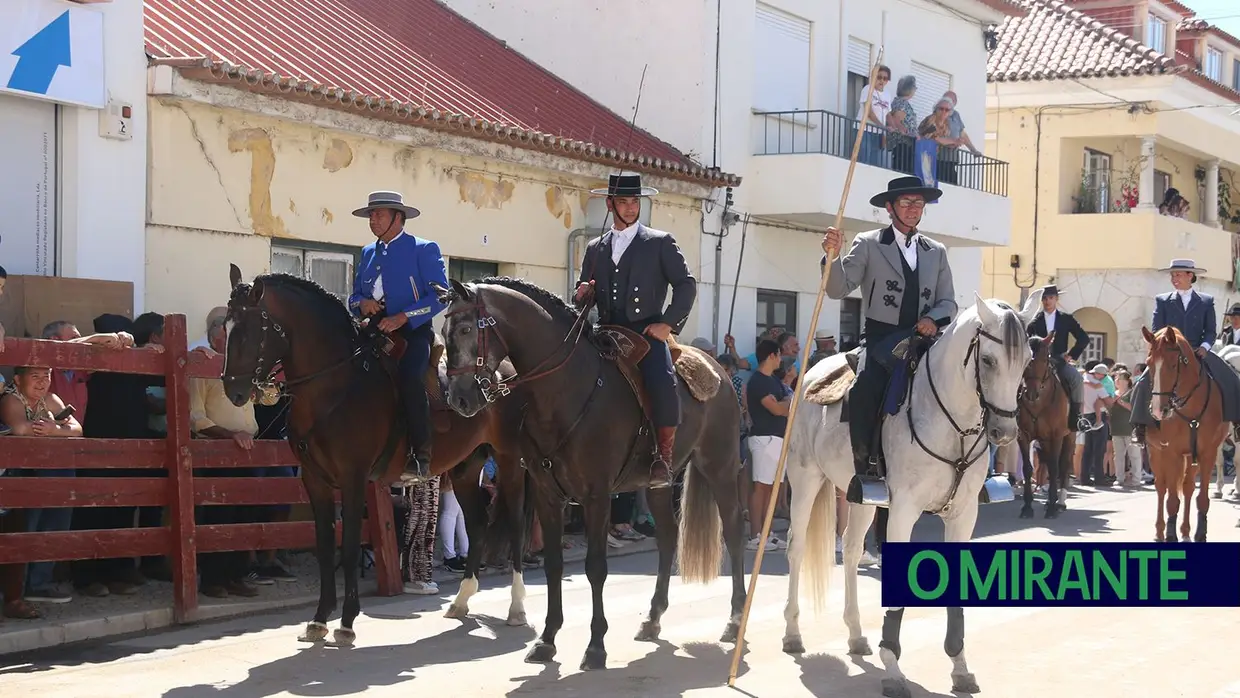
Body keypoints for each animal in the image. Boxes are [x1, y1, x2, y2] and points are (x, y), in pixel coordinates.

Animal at [220, 266, 530, 644]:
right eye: (225, 327)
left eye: (249, 331)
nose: (233, 391)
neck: (335, 385)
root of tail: (507, 369)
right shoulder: (315, 481)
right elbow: (326, 545)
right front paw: (319, 619)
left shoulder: (353, 479)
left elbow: (351, 544)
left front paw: (346, 622)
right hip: (465, 469)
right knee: (477, 523)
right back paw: (461, 601)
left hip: (508, 462)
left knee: (515, 524)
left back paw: (516, 608)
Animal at [436, 277, 744, 669]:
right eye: (443, 332)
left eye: (464, 329)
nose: (459, 400)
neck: (564, 389)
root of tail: (717, 368)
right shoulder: (548, 494)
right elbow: (553, 565)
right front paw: (547, 639)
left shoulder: (597, 495)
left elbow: (596, 567)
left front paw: (596, 646)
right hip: (658, 482)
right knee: (668, 536)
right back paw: (652, 618)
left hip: (719, 466)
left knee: (733, 531)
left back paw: (735, 620)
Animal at [783, 291, 1036, 698]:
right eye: (988, 360)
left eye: (1027, 360)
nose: (1005, 432)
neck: (954, 425)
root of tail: (814, 370)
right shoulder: (903, 510)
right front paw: (893, 667)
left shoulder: (963, 515)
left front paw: (959, 665)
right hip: (805, 478)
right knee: (797, 546)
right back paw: (792, 632)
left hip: (862, 497)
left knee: (850, 550)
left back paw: (856, 634)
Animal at [1016, 332, 1076, 518]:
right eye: (1024, 360)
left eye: (1044, 359)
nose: (1031, 393)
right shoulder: (1023, 435)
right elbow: (1028, 469)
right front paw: (1027, 506)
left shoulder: (1056, 435)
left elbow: (1055, 468)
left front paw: (1051, 508)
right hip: (1044, 440)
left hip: (1069, 437)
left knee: (1063, 467)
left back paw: (1059, 502)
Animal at [1140, 324, 1230, 543]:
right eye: (1149, 364)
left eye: (1173, 365)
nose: (1158, 410)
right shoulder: (1171, 453)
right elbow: (1172, 499)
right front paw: (1170, 535)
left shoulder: (1207, 453)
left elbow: (1202, 498)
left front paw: (1200, 533)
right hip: (1155, 452)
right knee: (1161, 488)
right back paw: (1160, 531)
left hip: (1190, 457)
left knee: (1188, 488)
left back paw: (1186, 531)